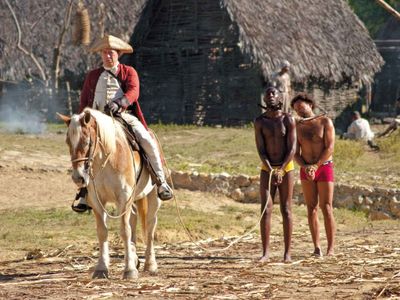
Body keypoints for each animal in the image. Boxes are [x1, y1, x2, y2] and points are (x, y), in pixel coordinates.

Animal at [57, 108, 161, 278]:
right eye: (68, 142)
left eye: (87, 142)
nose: (78, 177)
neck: (108, 160)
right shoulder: (97, 200)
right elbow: (102, 232)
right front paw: (101, 268)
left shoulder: (124, 198)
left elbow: (125, 231)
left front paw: (129, 270)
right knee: (134, 219)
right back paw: (134, 257)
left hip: (153, 197)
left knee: (150, 225)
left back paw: (150, 264)